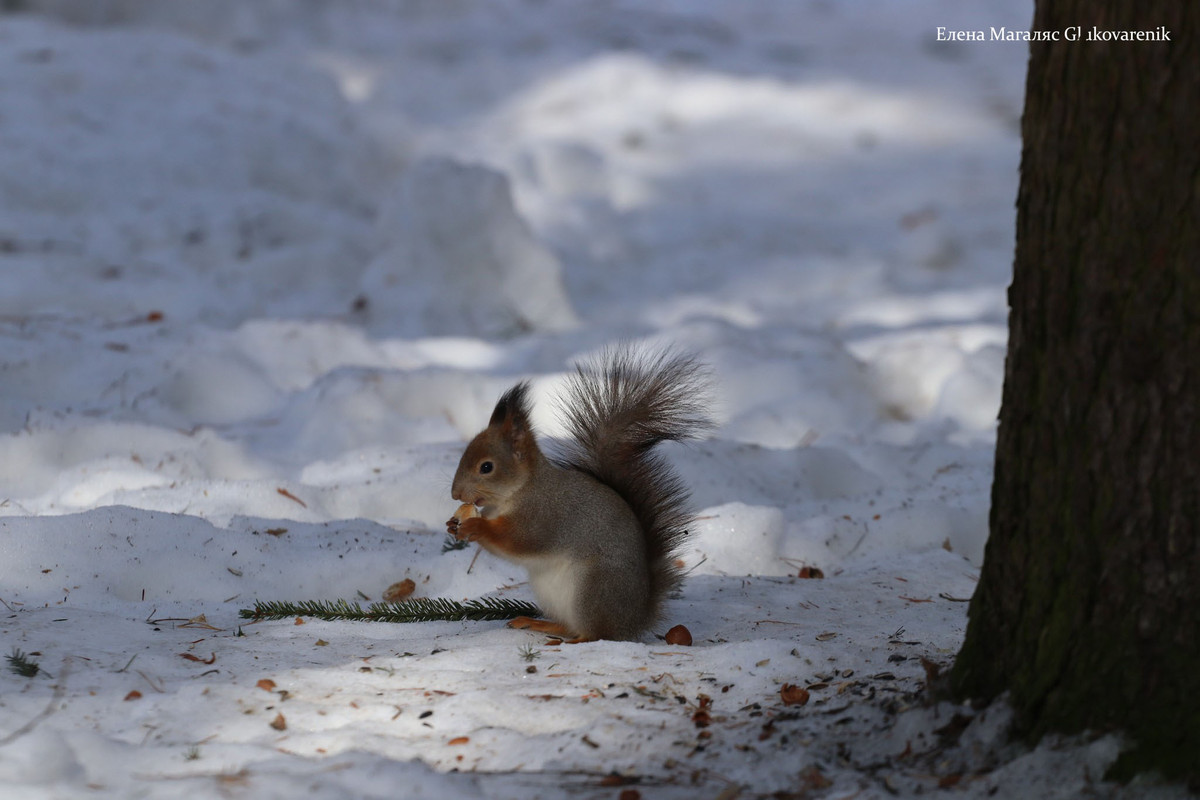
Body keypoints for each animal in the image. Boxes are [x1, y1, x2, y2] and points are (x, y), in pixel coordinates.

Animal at [448, 350, 710, 642]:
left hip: (593, 588)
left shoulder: (543, 516)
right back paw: (537, 623)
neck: (518, 493)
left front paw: (476, 526)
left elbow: (520, 541)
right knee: (569, 626)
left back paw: (579, 639)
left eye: (486, 467)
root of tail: (634, 620)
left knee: (598, 633)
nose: (455, 493)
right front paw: (453, 526)